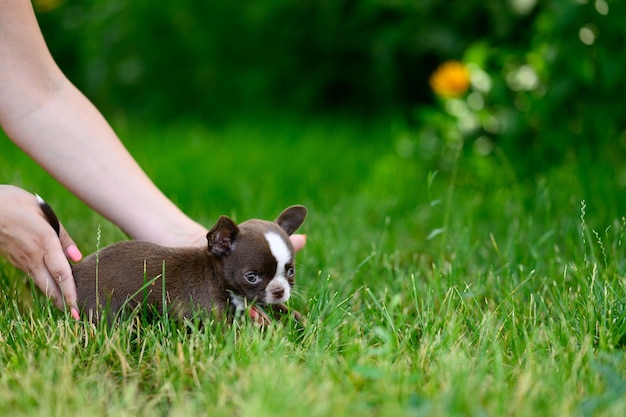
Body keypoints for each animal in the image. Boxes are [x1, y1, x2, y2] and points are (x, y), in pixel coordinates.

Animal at [36, 193, 304, 324]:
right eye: (252, 277)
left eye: (290, 271)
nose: (279, 290)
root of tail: (77, 269)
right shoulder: (211, 315)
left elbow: (284, 311)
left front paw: (300, 322)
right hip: (105, 307)